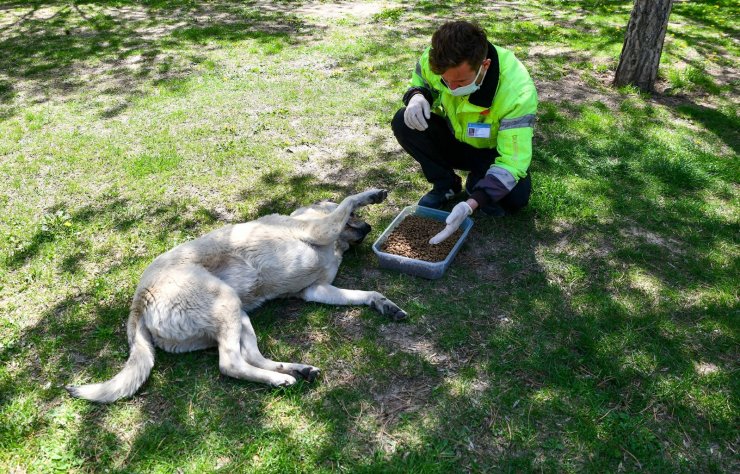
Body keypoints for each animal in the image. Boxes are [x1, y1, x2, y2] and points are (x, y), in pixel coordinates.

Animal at [67, 189, 404, 404]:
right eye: (356, 216)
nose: (369, 227)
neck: (334, 245)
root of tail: (140, 299)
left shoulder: (316, 290)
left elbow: (364, 294)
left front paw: (383, 304)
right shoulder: (318, 229)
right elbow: (348, 198)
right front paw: (372, 193)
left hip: (239, 314)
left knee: (250, 356)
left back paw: (294, 371)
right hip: (226, 301)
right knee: (230, 364)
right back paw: (280, 379)